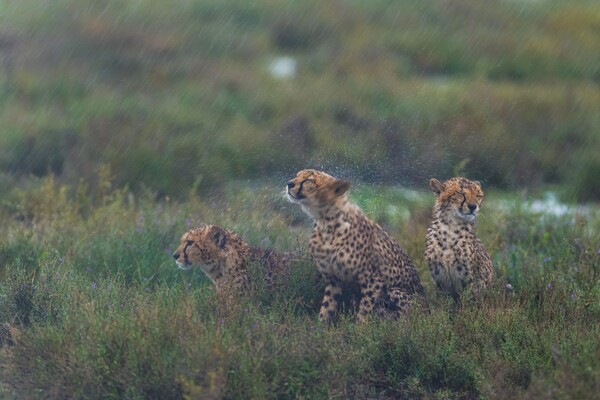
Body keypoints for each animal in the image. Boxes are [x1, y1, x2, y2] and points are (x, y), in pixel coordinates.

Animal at [286, 169, 426, 322]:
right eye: (297, 175)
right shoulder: (333, 279)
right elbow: (327, 306)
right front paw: (320, 325)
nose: (289, 183)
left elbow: (365, 309)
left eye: (308, 180)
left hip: (395, 292)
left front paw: (360, 327)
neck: (326, 221)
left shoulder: (373, 280)